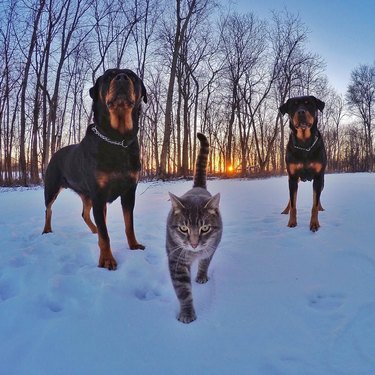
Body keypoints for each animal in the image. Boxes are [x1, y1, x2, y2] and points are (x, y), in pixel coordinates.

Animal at [166, 133, 222, 324]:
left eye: (205, 228)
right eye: (184, 228)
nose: (194, 244)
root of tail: (198, 187)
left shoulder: (211, 247)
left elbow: (205, 262)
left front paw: (201, 276)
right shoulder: (176, 259)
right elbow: (183, 290)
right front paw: (187, 313)